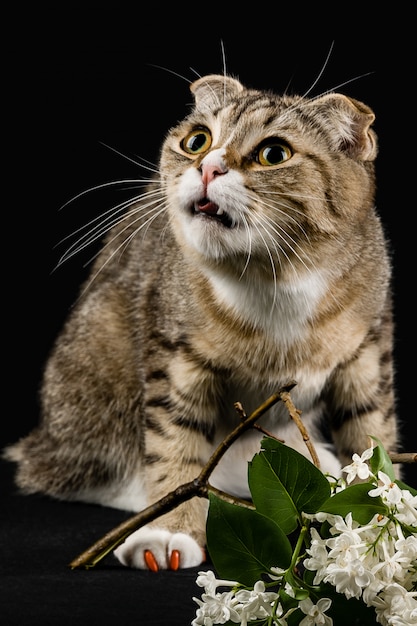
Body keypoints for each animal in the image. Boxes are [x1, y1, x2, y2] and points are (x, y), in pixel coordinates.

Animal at [4, 73, 398, 572]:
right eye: (197, 141)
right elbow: (173, 441)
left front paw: (382, 505)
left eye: (274, 153)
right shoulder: (174, 355)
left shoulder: (370, 346)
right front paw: (170, 527)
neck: (275, 279)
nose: (208, 167)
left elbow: (371, 427)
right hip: (94, 370)